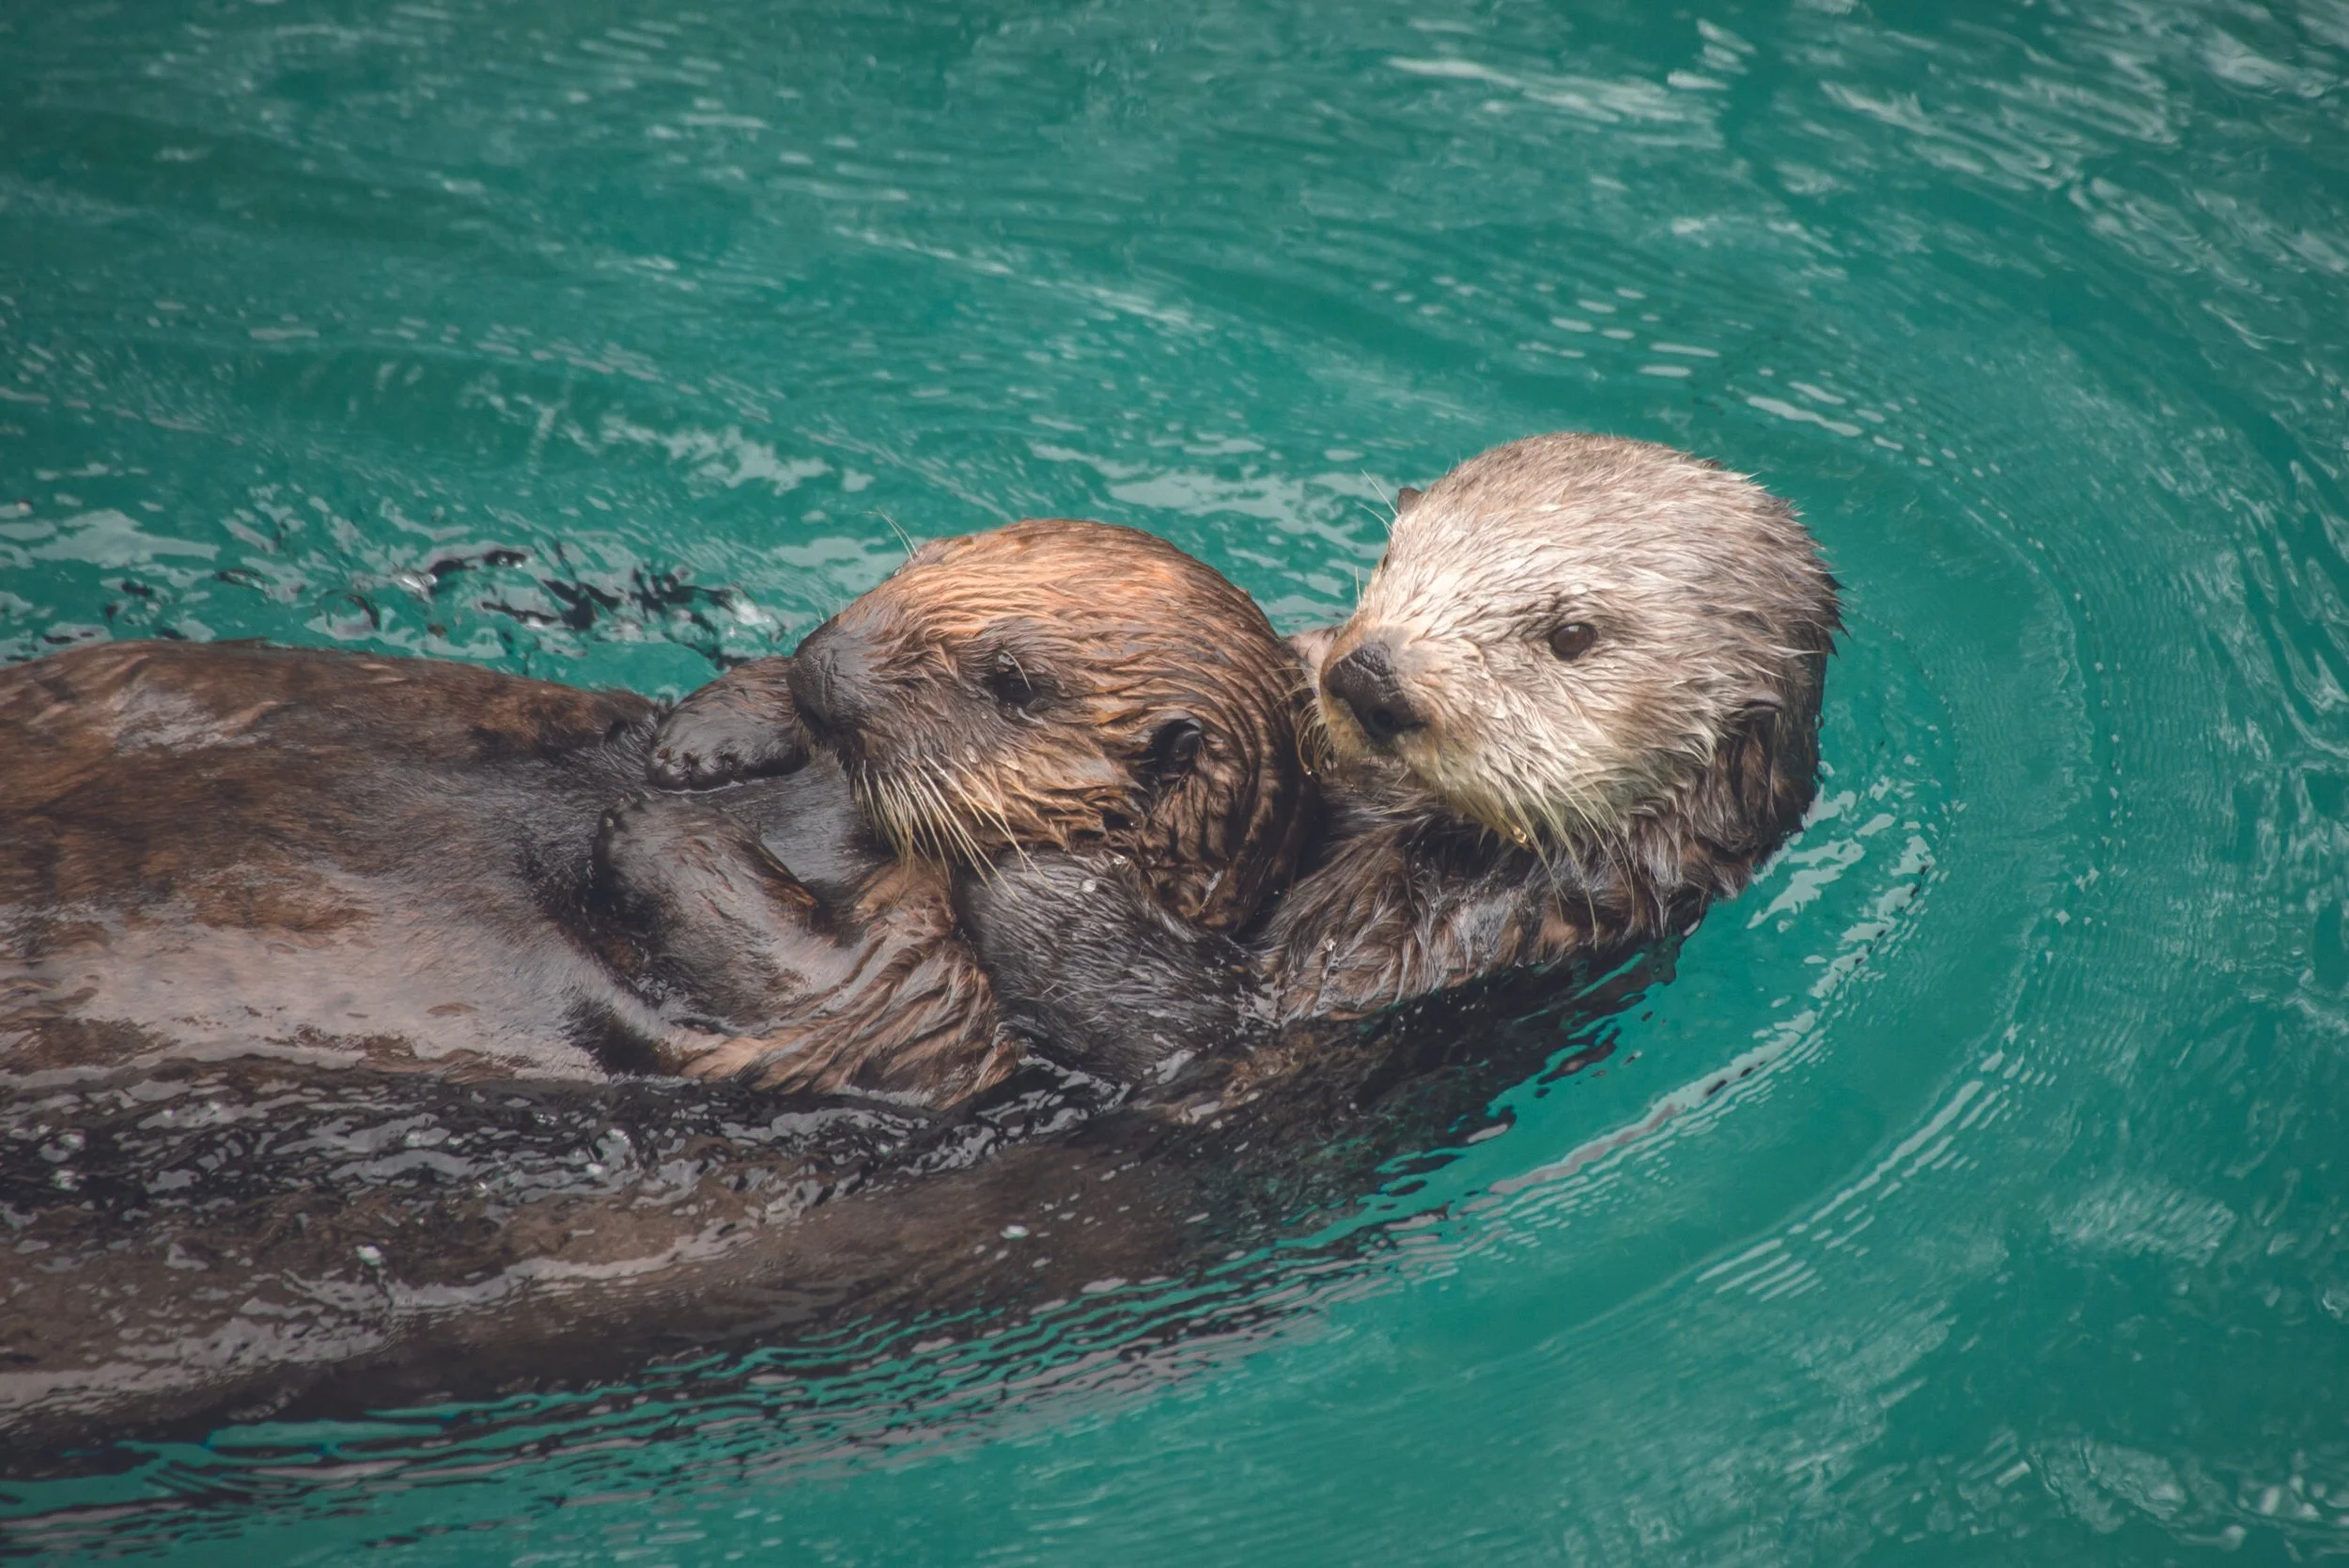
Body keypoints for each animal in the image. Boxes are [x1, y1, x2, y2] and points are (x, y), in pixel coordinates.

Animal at [0, 520, 1311, 1102]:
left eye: (1009, 680)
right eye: (918, 560)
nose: (829, 664)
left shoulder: (932, 999)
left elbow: (813, 979)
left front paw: (654, 822)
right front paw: (702, 739)